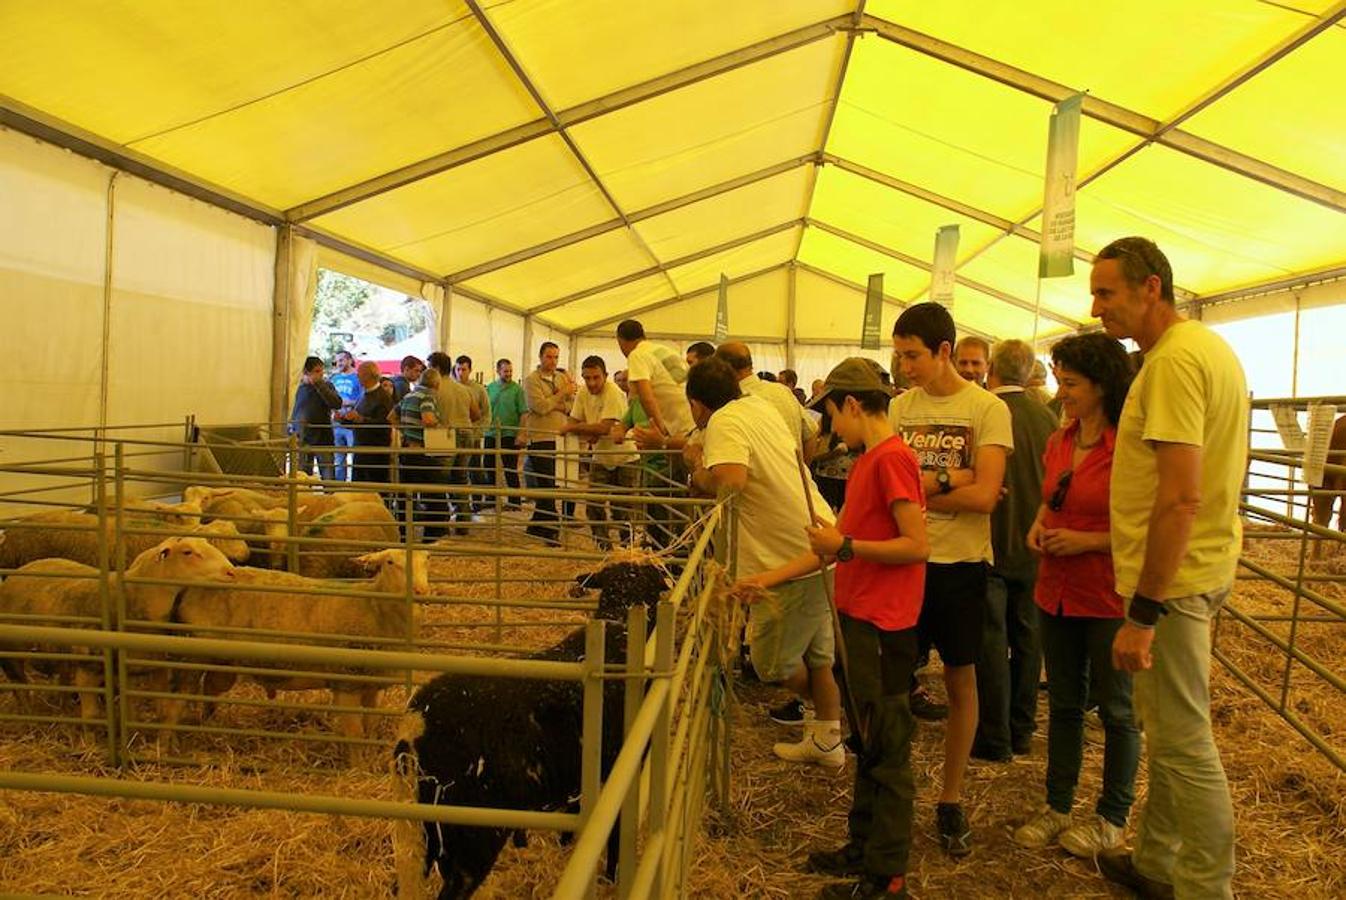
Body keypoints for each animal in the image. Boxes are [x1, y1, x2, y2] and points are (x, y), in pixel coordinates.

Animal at [390, 562, 667, 898]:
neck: (620, 624)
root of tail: (416, 727)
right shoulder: (618, 771)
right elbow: (614, 835)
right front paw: (610, 877)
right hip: (472, 835)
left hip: (420, 834)